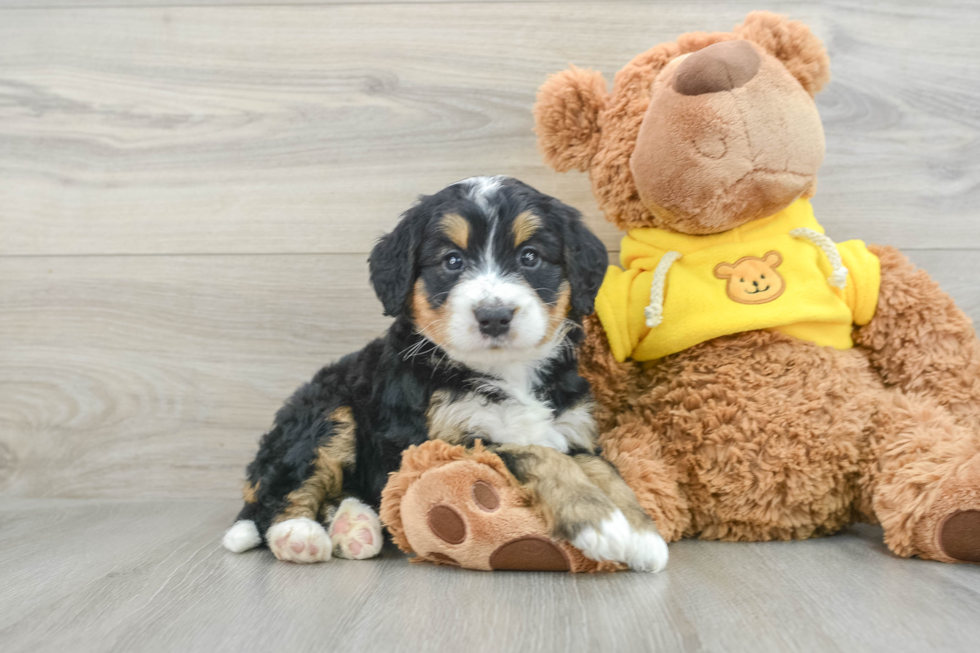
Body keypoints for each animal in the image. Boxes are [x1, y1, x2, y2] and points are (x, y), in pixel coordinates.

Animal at [221, 176, 668, 568]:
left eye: (530, 257)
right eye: (452, 261)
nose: (494, 316)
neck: (507, 371)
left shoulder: (574, 430)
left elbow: (604, 470)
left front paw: (641, 533)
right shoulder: (445, 444)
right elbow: (536, 452)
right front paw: (601, 524)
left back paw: (355, 526)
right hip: (328, 411)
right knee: (280, 494)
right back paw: (298, 536)